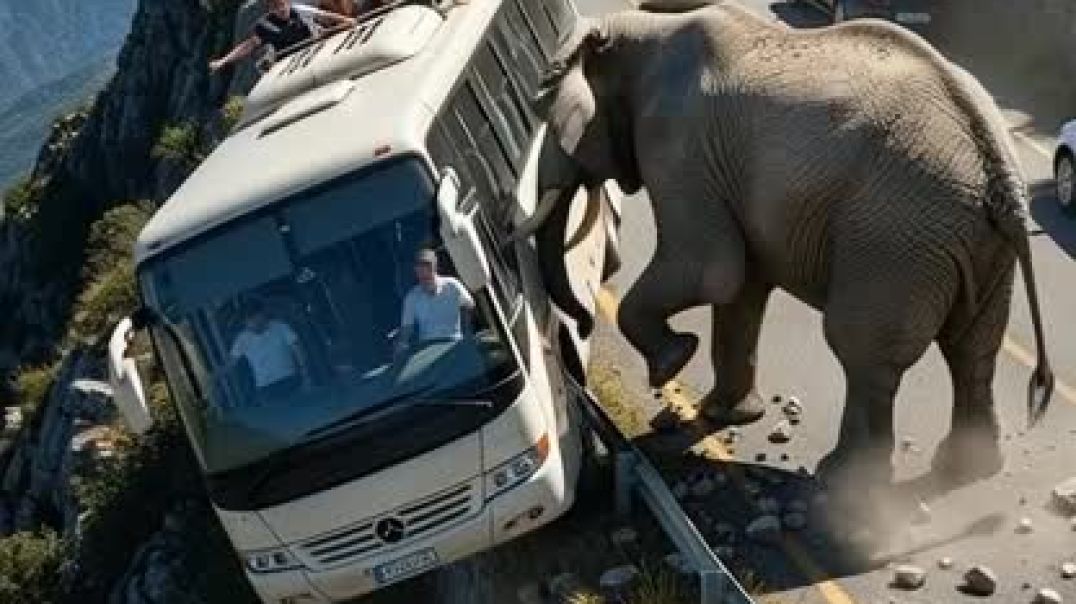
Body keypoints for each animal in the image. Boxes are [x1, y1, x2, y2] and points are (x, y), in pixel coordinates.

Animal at [513, 0, 1055, 490]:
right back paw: (967, 470)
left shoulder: (676, 145)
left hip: (895, 239)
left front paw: (674, 360)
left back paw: (846, 484)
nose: (581, 329)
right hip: (973, 244)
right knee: (973, 348)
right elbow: (741, 289)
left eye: (550, 120)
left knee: (863, 350)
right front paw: (726, 413)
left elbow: (710, 268)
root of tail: (998, 171)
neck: (641, 28)